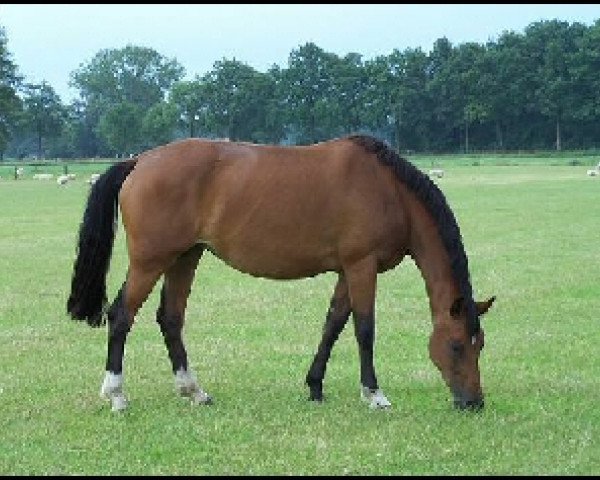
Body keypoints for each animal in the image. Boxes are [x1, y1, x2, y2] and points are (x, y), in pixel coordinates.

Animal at [67, 134, 496, 412]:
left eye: (480, 346)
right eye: (456, 345)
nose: (473, 403)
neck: (390, 191)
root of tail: (139, 161)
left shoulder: (347, 269)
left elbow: (333, 324)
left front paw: (315, 386)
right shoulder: (362, 265)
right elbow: (364, 329)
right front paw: (374, 394)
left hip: (185, 256)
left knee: (170, 318)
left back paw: (194, 391)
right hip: (151, 260)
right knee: (121, 315)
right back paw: (117, 395)